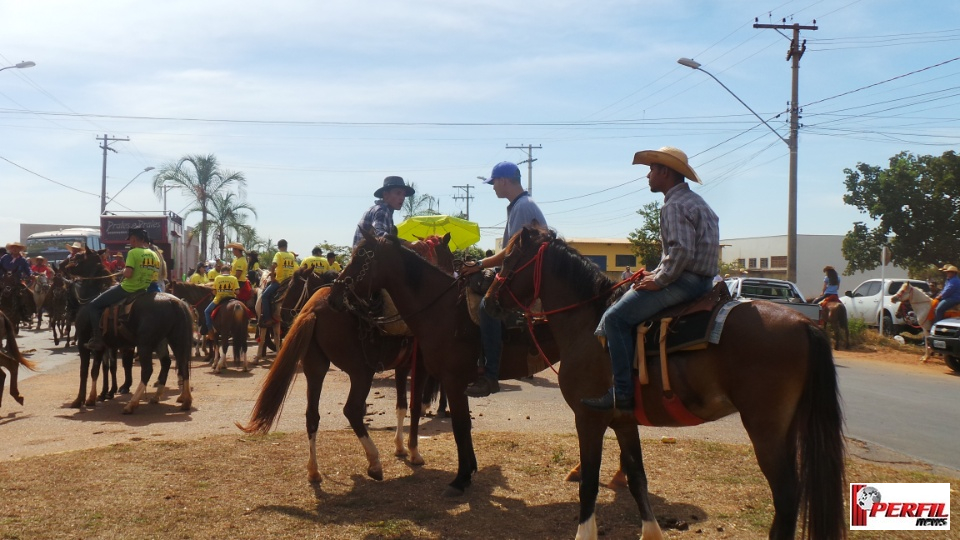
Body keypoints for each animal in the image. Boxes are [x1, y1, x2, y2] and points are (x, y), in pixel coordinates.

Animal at [238, 236, 452, 486]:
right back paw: (374, 462)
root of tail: (313, 309)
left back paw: (314, 470)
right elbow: (414, 407)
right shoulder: (419, 367)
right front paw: (415, 452)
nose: (284, 314)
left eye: (294, 287)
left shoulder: (403, 367)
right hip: (362, 373)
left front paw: (400, 448)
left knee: (312, 415)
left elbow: (400, 406)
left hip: (316, 369)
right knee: (352, 410)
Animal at [484, 228, 844, 540]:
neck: (589, 323)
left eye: (510, 258)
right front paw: (651, 533)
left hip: (765, 431)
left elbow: (589, 483)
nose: (488, 300)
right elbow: (637, 479)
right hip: (788, 429)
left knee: (786, 498)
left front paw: (585, 533)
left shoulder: (589, 419)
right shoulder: (623, 421)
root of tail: (804, 324)